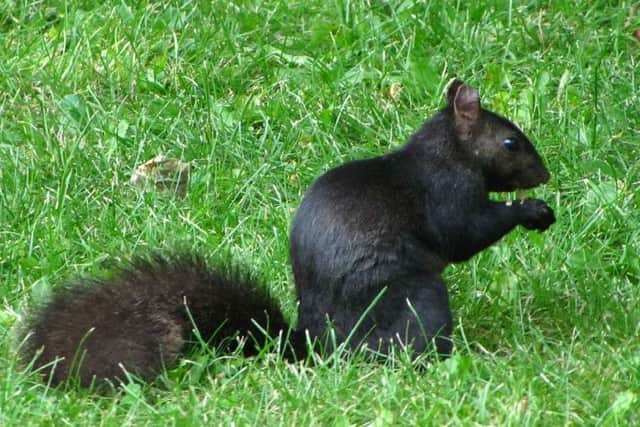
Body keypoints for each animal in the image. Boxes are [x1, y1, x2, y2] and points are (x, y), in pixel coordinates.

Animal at [21, 79, 556, 388]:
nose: (545, 174)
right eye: (511, 142)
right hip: (414, 296)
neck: (447, 151)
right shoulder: (447, 193)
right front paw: (531, 210)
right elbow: (463, 236)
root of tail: (318, 345)